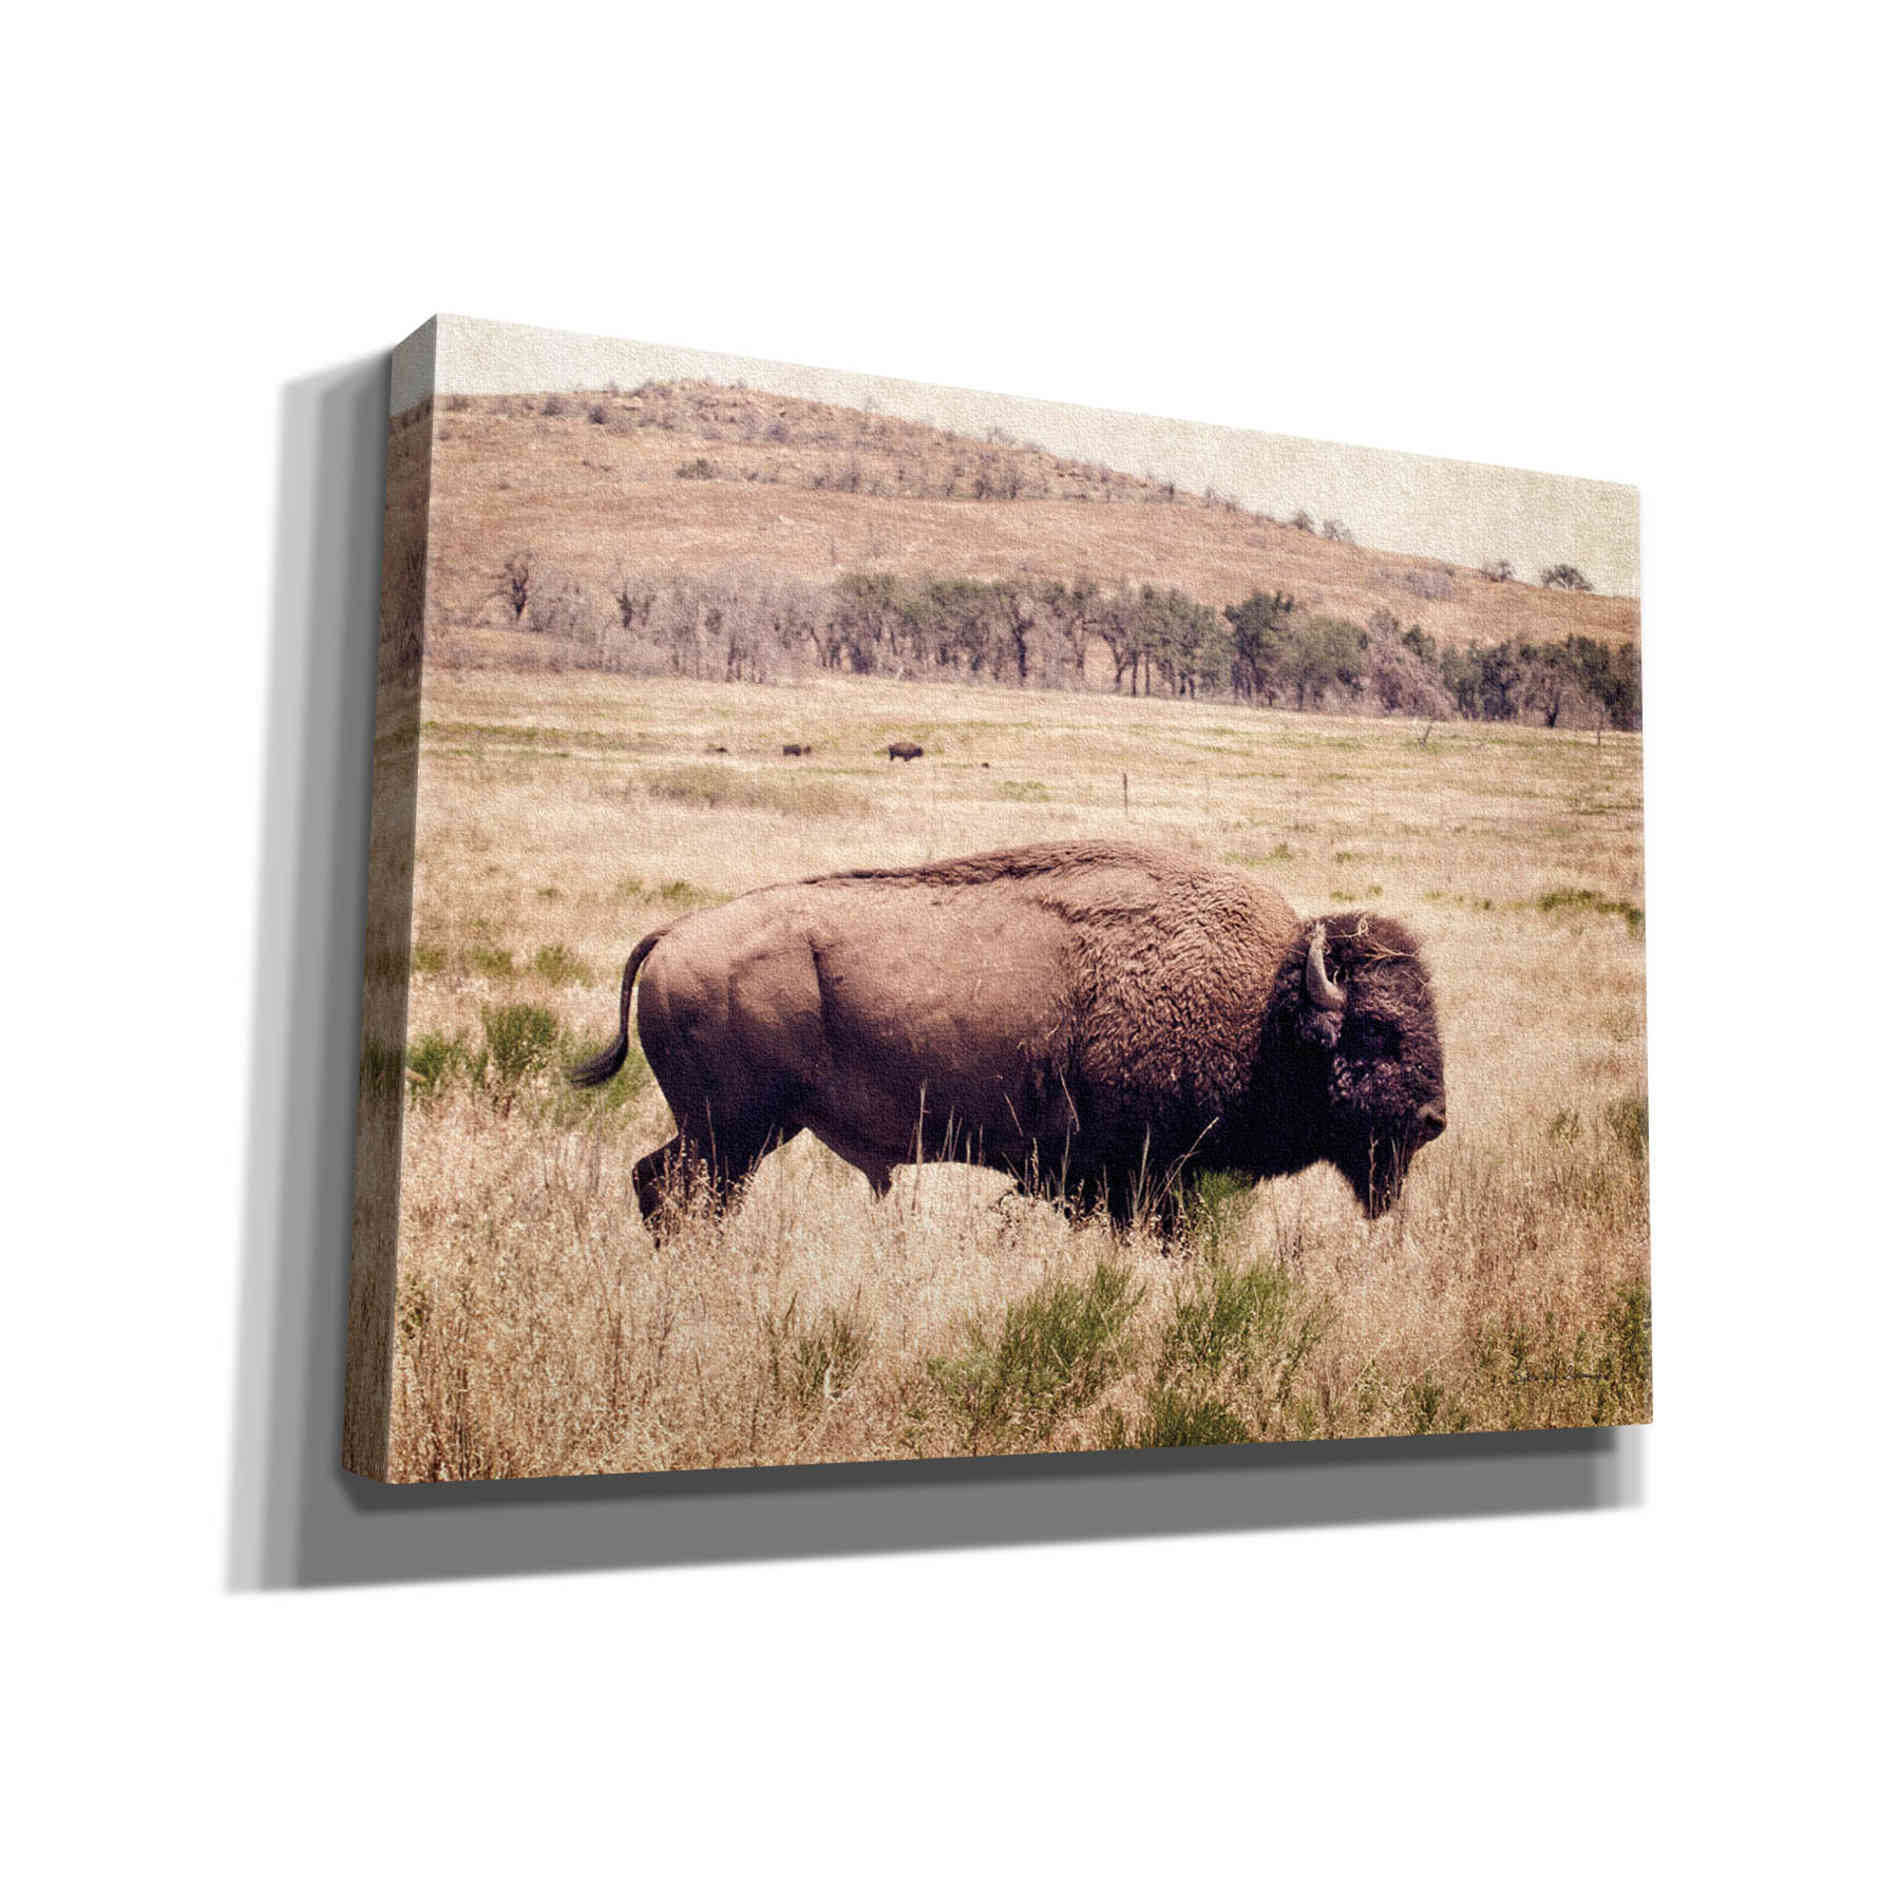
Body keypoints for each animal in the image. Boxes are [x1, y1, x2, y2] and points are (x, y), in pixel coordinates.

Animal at [571, 840, 1446, 1231]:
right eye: (1375, 1029)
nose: (1433, 1118)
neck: (1264, 1004)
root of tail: (675, 933)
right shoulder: (1139, 1180)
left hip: (738, 1132)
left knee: (655, 1182)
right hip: (733, 1134)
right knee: (681, 1195)